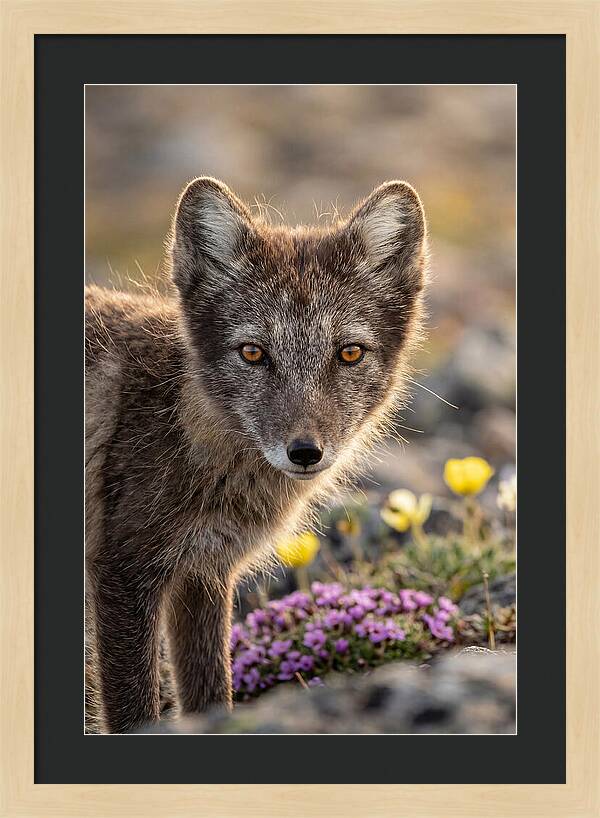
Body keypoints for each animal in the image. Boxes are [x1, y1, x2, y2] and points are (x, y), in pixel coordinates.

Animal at [85, 177, 428, 733]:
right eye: (252, 353)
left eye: (349, 353)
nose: (305, 452)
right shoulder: (123, 572)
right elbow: (135, 712)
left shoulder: (203, 574)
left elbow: (211, 696)